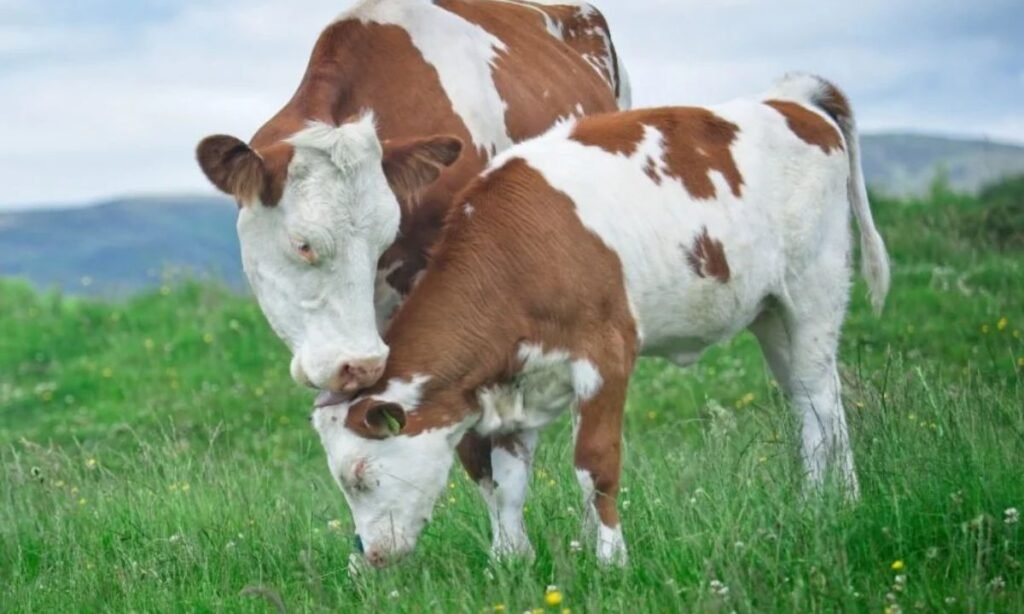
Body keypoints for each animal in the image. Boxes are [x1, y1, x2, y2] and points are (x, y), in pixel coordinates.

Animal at [311, 74, 891, 568]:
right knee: (810, 398)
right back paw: (836, 500)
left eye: (361, 475)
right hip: (772, 315)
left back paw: (823, 504)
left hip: (815, 288)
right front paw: (510, 561)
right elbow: (509, 482)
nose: (373, 556)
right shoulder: (515, 380)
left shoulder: (607, 354)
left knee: (820, 405)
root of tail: (789, 98)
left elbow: (595, 464)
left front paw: (612, 560)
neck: (516, 255)